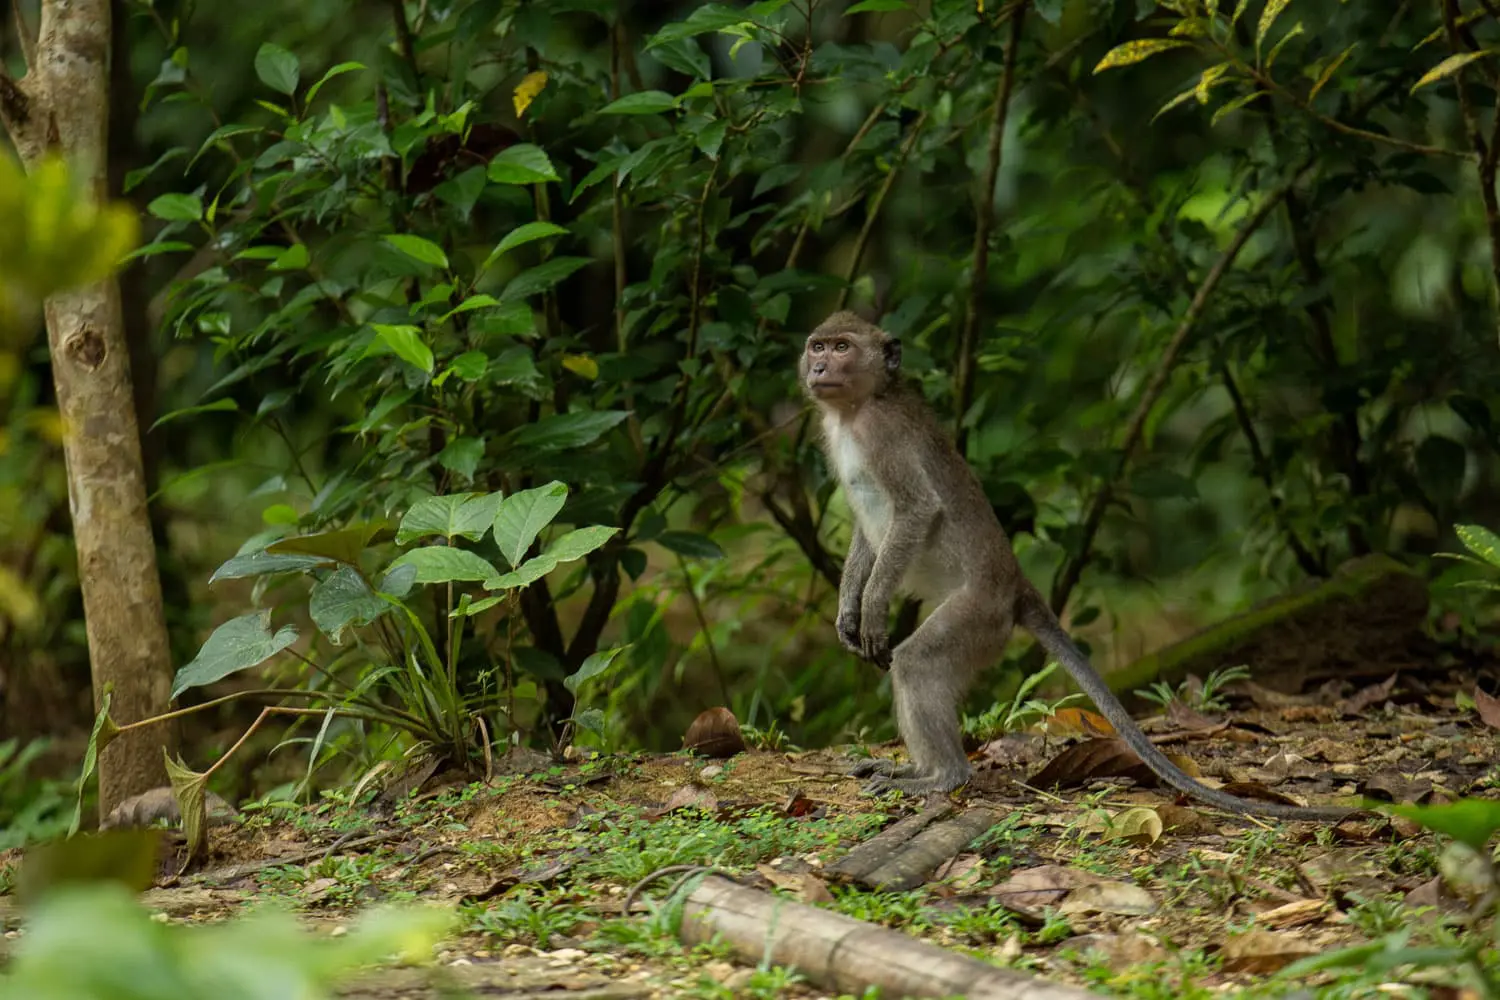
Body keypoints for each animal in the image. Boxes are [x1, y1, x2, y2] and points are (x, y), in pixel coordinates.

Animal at [798, 311, 1362, 822]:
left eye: (843, 347)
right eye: (818, 345)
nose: (819, 366)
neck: (855, 410)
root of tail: (1016, 584)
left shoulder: (884, 436)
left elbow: (916, 510)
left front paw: (873, 610)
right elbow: (865, 531)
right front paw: (848, 614)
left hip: (979, 614)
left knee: (918, 662)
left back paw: (942, 777)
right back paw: (914, 770)